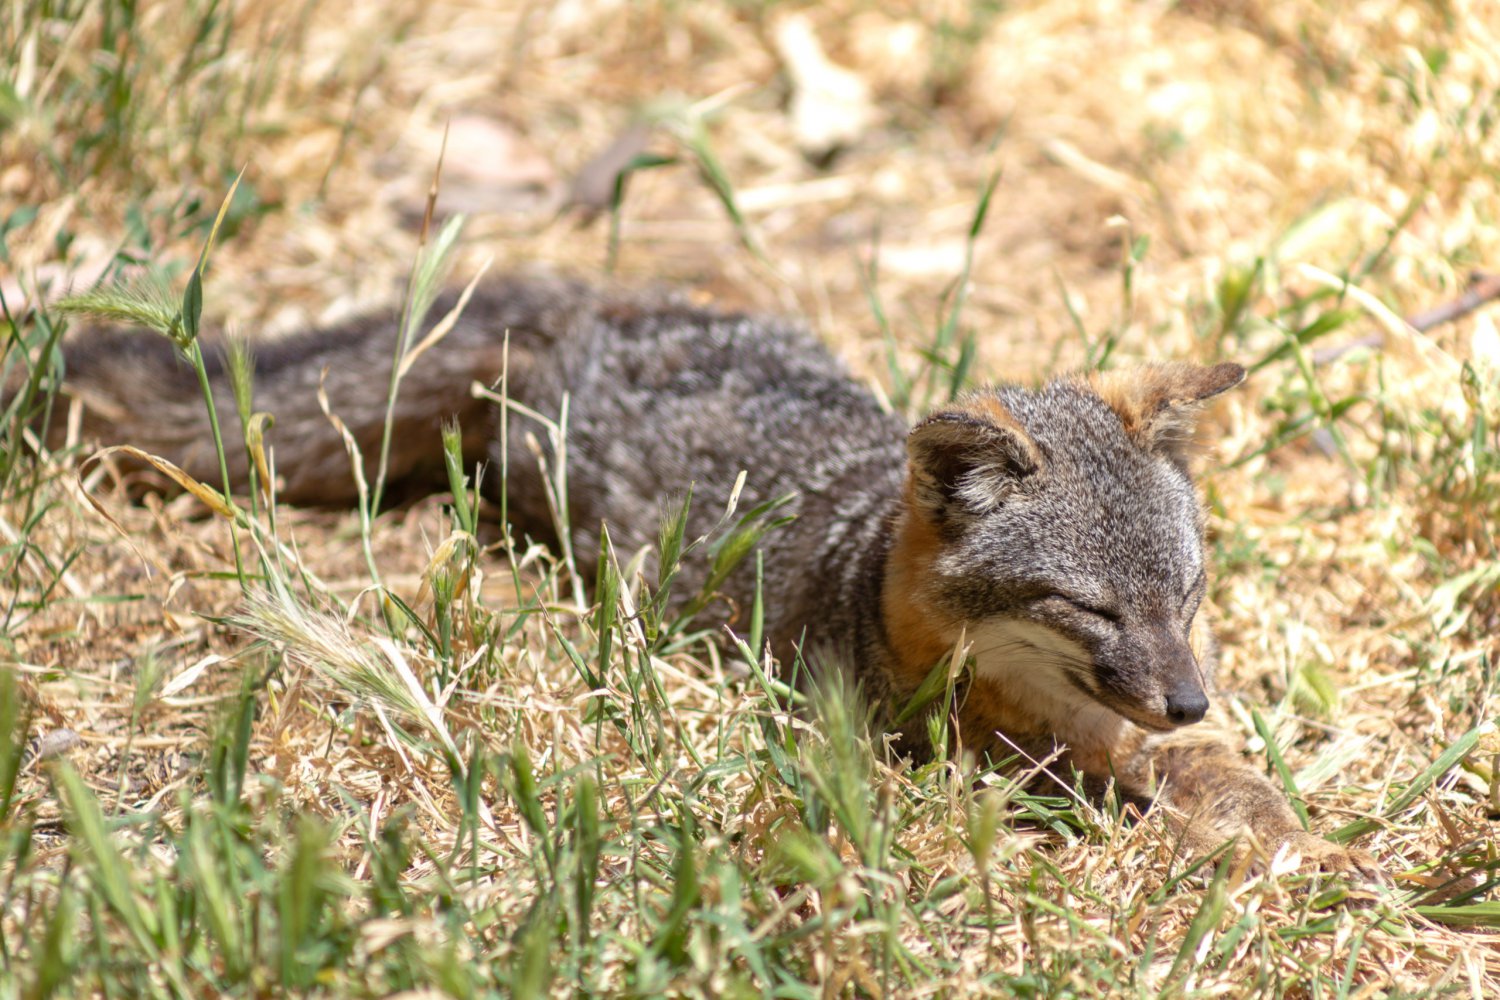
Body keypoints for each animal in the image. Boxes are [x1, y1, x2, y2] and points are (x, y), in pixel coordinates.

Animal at [23, 271, 1380, 875]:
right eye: (1089, 608)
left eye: (1186, 598)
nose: (1191, 696)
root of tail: (594, 303)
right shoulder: (980, 749)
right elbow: (1114, 781)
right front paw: (1230, 831)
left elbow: (1208, 770)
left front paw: (1272, 812)